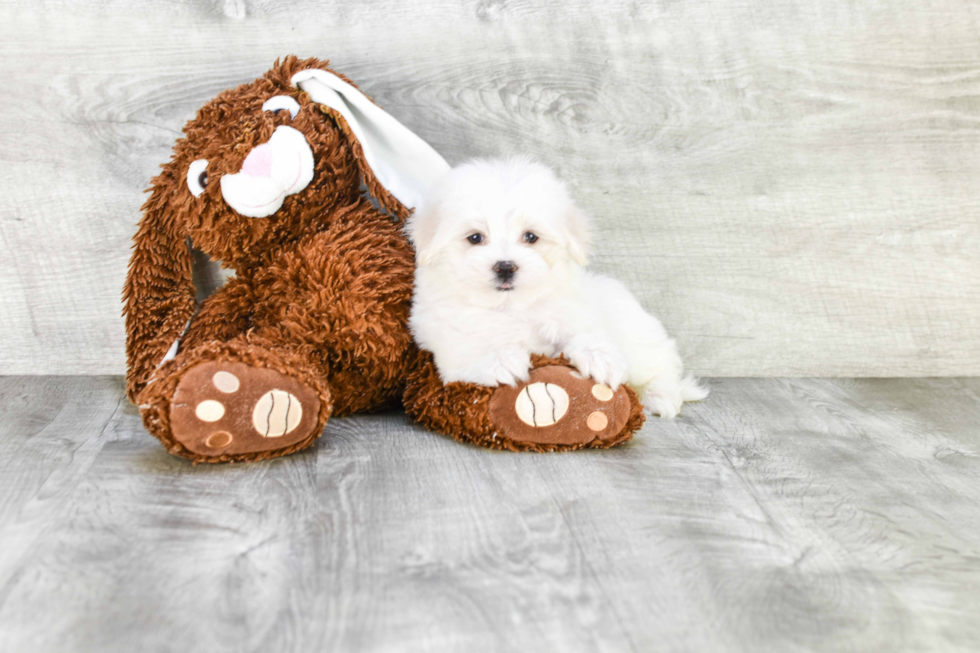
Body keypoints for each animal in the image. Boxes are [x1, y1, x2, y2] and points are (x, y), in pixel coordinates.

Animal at [404, 155, 704, 416]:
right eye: (475, 238)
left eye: (530, 237)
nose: (505, 267)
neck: (510, 306)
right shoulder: (440, 326)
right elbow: (469, 343)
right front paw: (500, 361)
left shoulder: (572, 312)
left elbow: (584, 332)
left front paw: (599, 358)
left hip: (639, 339)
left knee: (661, 365)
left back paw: (661, 396)